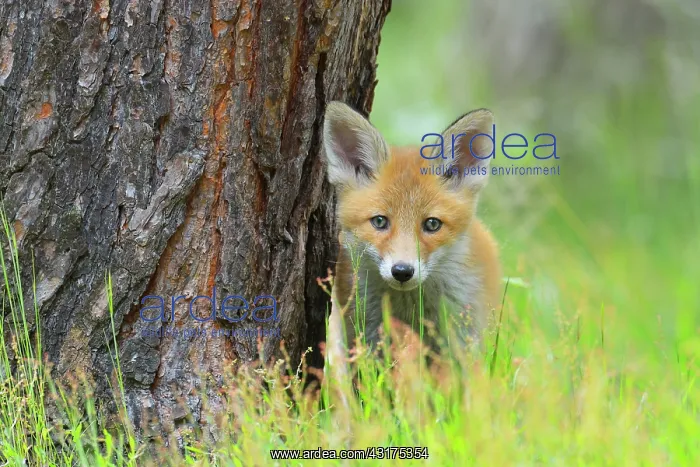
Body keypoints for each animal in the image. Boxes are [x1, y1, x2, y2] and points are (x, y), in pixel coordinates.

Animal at [321, 101, 501, 357]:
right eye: (379, 221)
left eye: (432, 224)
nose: (402, 271)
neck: (410, 306)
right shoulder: (366, 334)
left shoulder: (461, 338)